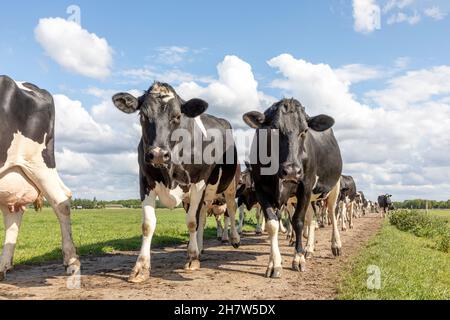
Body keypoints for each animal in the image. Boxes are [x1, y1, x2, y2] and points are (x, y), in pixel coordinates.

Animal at [111, 82, 241, 282]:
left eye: (178, 116)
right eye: (142, 116)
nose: (158, 154)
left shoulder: (198, 183)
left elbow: (192, 222)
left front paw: (192, 259)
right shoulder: (145, 181)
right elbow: (148, 225)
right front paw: (141, 268)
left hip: (230, 185)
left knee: (231, 210)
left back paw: (233, 239)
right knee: (202, 216)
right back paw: (199, 248)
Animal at [244, 97, 342, 278]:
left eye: (304, 131)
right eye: (273, 130)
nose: (291, 171)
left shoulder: (305, 186)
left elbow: (298, 221)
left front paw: (298, 259)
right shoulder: (261, 189)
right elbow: (273, 223)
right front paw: (274, 262)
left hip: (333, 186)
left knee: (332, 213)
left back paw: (335, 245)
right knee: (311, 218)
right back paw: (309, 248)